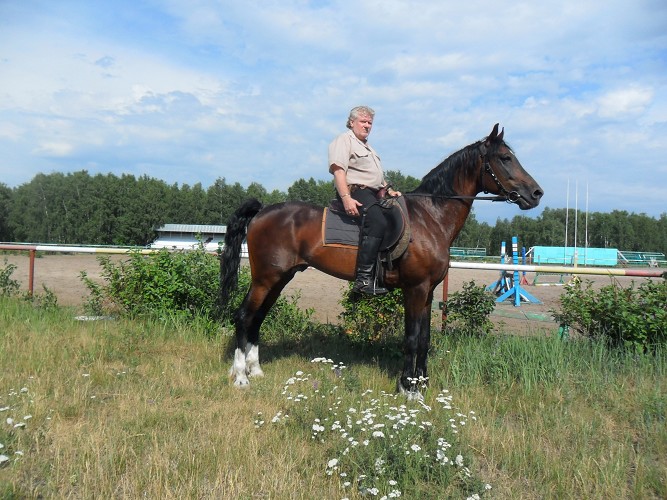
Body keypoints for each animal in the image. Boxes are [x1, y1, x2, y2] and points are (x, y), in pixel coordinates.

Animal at [219, 124, 544, 394]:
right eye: (504, 158)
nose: (537, 193)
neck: (431, 217)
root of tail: (262, 211)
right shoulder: (415, 290)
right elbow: (411, 338)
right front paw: (407, 388)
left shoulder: (428, 292)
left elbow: (424, 339)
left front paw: (422, 384)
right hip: (266, 279)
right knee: (244, 316)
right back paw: (241, 377)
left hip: (279, 279)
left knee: (257, 318)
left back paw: (256, 370)